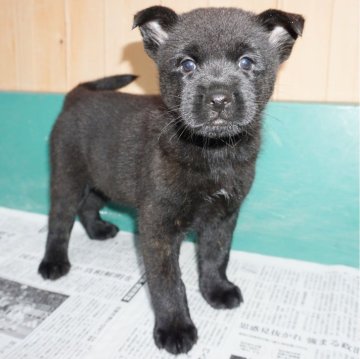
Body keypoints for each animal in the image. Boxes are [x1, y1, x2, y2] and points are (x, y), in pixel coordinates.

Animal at [38, 6, 304, 358]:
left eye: (246, 62)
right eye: (186, 64)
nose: (219, 98)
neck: (212, 152)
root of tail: (77, 94)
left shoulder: (223, 216)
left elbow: (215, 257)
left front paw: (216, 290)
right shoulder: (158, 227)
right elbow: (168, 282)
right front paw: (175, 328)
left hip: (103, 178)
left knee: (89, 205)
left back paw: (98, 230)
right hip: (68, 178)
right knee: (59, 220)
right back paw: (53, 263)